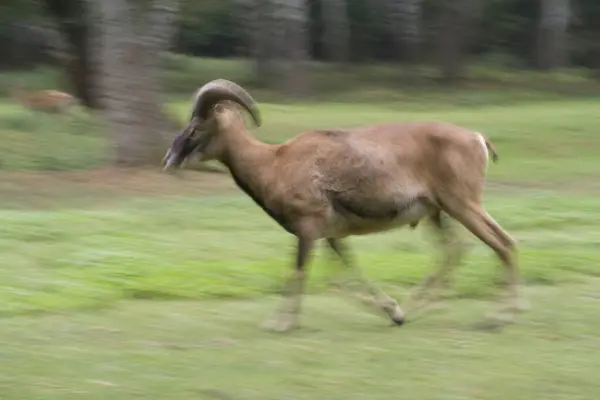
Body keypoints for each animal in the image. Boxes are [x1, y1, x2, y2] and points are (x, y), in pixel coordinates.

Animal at [162, 79, 524, 332]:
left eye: (195, 128)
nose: (169, 160)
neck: (274, 162)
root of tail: (477, 139)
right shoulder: (333, 237)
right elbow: (342, 280)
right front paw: (394, 312)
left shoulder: (308, 231)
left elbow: (299, 274)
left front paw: (280, 324)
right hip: (440, 214)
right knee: (455, 252)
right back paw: (415, 310)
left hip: (464, 206)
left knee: (503, 244)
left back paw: (500, 318)